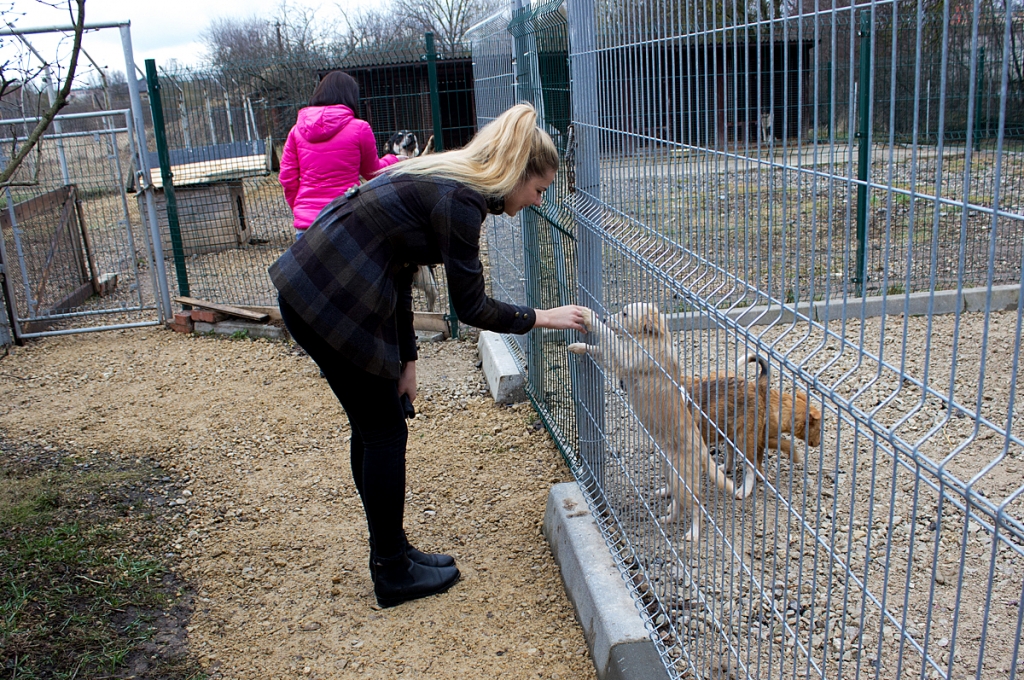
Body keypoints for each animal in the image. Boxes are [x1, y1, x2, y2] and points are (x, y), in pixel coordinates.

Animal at [569, 303, 737, 540]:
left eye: (625, 314)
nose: (604, 318)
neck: (652, 338)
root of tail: (702, 449)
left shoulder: (626, 358)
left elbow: (609, 336)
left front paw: (588, 316)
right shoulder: (618, 359)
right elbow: (600, 348)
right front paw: (579, 346)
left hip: (684, 478)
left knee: (697, 507)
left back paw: (693, 533)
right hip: (672, 473)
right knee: (680, 503)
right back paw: (668, 518)